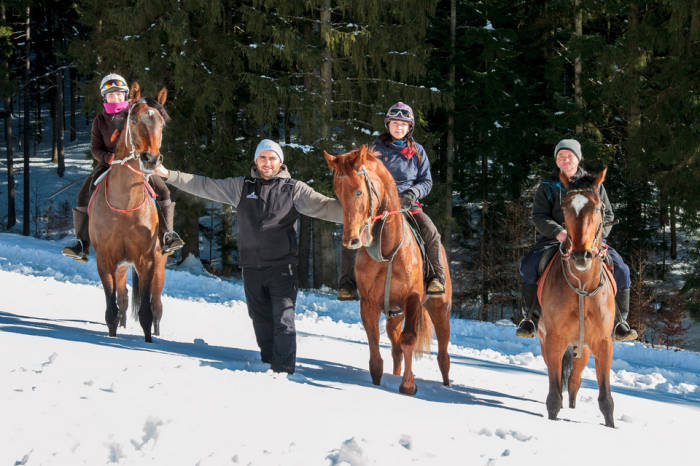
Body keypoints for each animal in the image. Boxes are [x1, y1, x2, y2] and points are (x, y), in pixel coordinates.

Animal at [89, 83, 170, 342]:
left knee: (157, 305)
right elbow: (112, 310)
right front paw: (113, 335)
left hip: (159, 266)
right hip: (122, 267)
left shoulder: (147, 261)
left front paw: (149, 341)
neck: (124, 206)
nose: (151, 159)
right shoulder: (105, 261)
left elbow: (146, 312)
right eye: (133, 120)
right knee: (123, 298)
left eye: (162, 123)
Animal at [326, 145, 452, 394]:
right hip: (394, 314)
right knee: (396, 350)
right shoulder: (369, 303)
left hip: (440, 309)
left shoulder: (412, 300)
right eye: (338, 193)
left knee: (443, 356)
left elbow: (409, 339)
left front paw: (408, 385)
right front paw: (377, 381)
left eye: (359, 192)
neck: (387, 250)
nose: (351, 240)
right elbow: (374, 343)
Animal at [540, 167, 616, 426]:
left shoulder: (603, 343)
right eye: (565, 208)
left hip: (582, 350)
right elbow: (553, 398)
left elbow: (606, 400)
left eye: (597, 207)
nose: (581, 255)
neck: (582, 287)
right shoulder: (553, 340)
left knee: (574, 381)